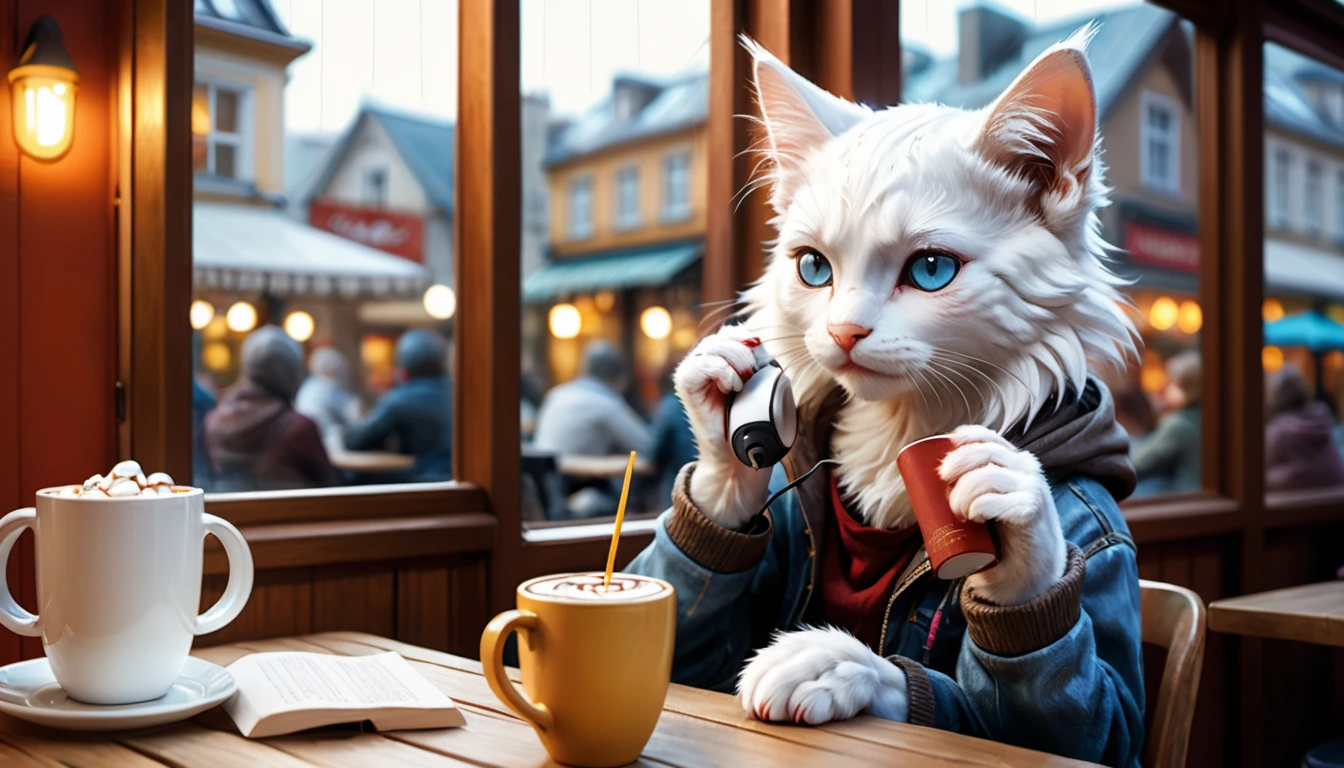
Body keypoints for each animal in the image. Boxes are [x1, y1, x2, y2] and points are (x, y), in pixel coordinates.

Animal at [672, 28, 1134, 726]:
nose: (843, 331)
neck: (898, 433)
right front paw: (719, 400)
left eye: (932, 270)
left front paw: (830, 662)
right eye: (813, 268)